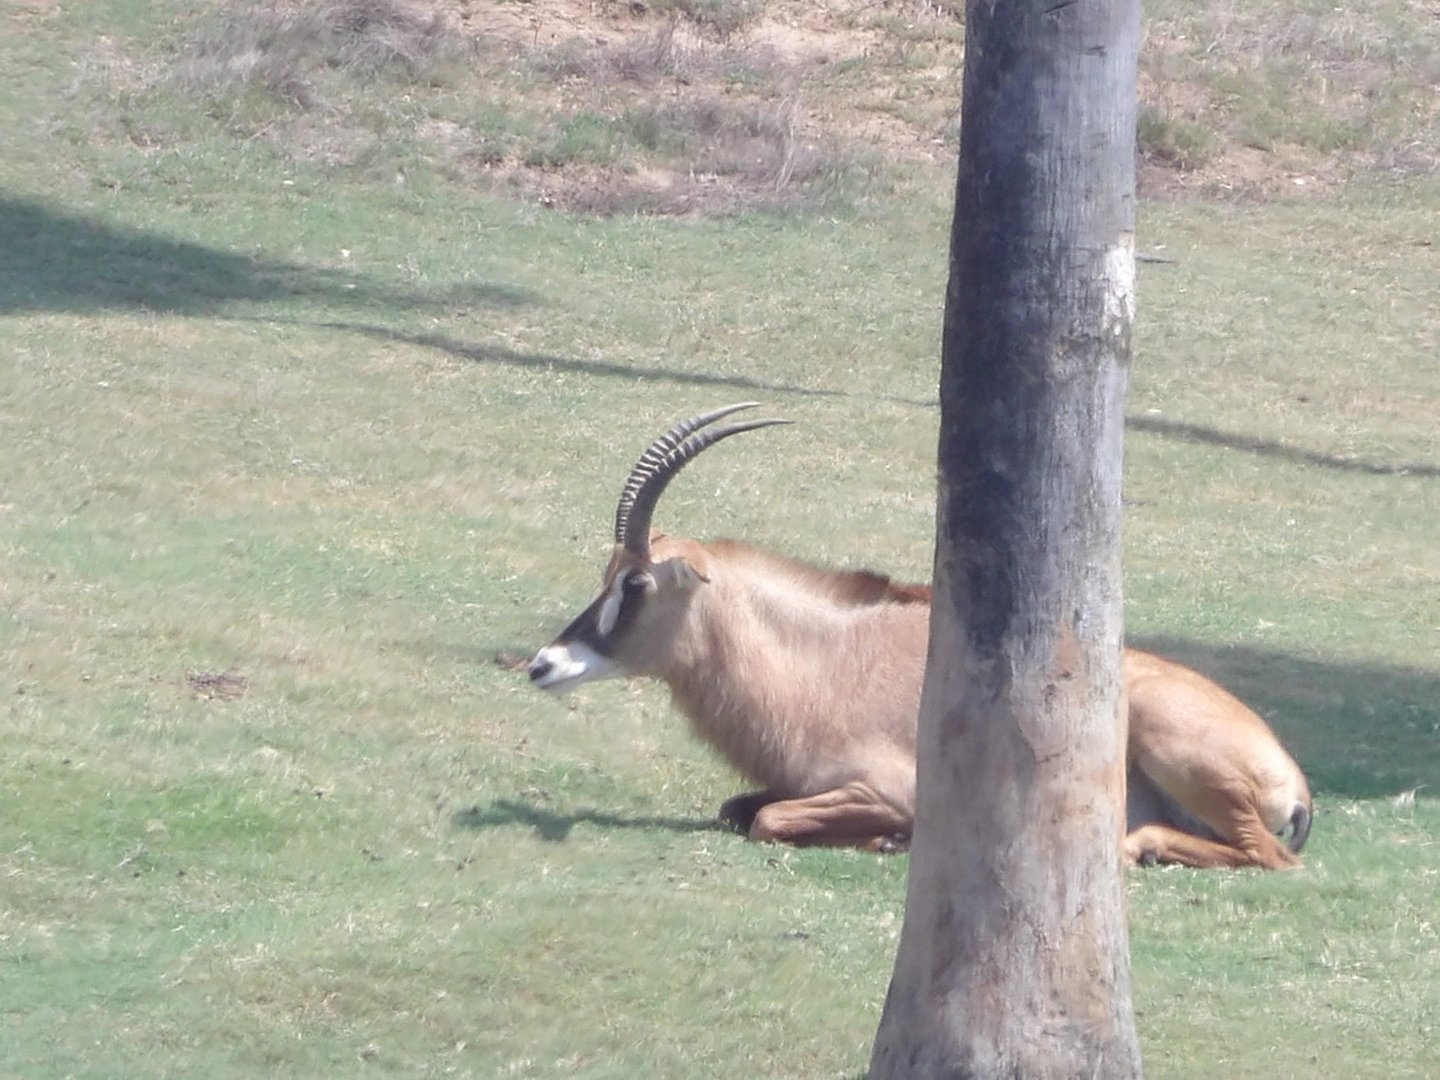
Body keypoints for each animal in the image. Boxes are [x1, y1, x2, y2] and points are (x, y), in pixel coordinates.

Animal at [528, 404, 1313, 869]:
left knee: (1271, 856)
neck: (825, 665)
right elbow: (740, 809)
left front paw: (886, 837)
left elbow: (769, 818)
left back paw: (1138, 846)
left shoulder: (889, 787)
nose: (544, 664)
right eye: (608, 574)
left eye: (635, 585)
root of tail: (1290, 772)